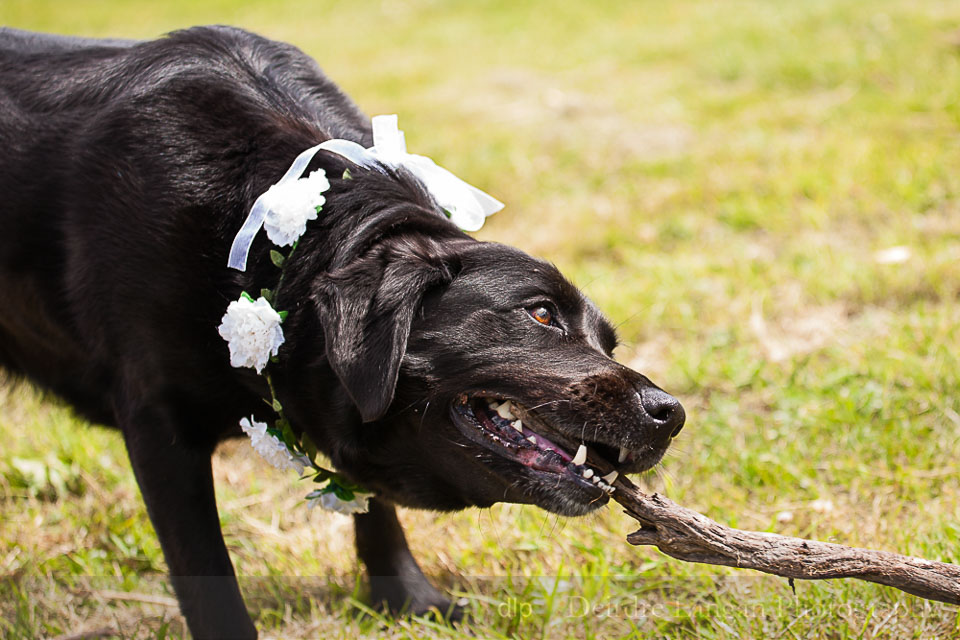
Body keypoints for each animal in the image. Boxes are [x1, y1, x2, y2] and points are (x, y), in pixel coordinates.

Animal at [3, 26, 688, 640]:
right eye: (542, 313)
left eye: (607, 343)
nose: (671, 414)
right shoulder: (158, 426)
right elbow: (208, 574)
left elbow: (370, 500)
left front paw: (408, 599)